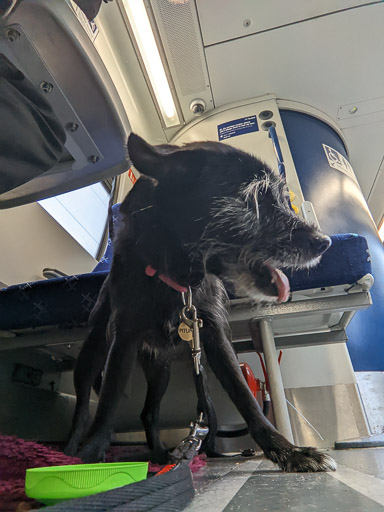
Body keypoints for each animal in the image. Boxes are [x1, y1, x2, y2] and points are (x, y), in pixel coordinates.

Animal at [66, 135, 336, 472]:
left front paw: (287, 451)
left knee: (148, 412)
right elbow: (107, 403)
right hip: (91, 355)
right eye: (253, 198)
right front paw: (89, 458)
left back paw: (159, 456)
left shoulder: (214, 336)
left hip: (160, 371)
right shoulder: (124, 339)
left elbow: (245, 398)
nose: (325, 242)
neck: (177, 278)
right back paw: (72, 448)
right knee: (82, 408)